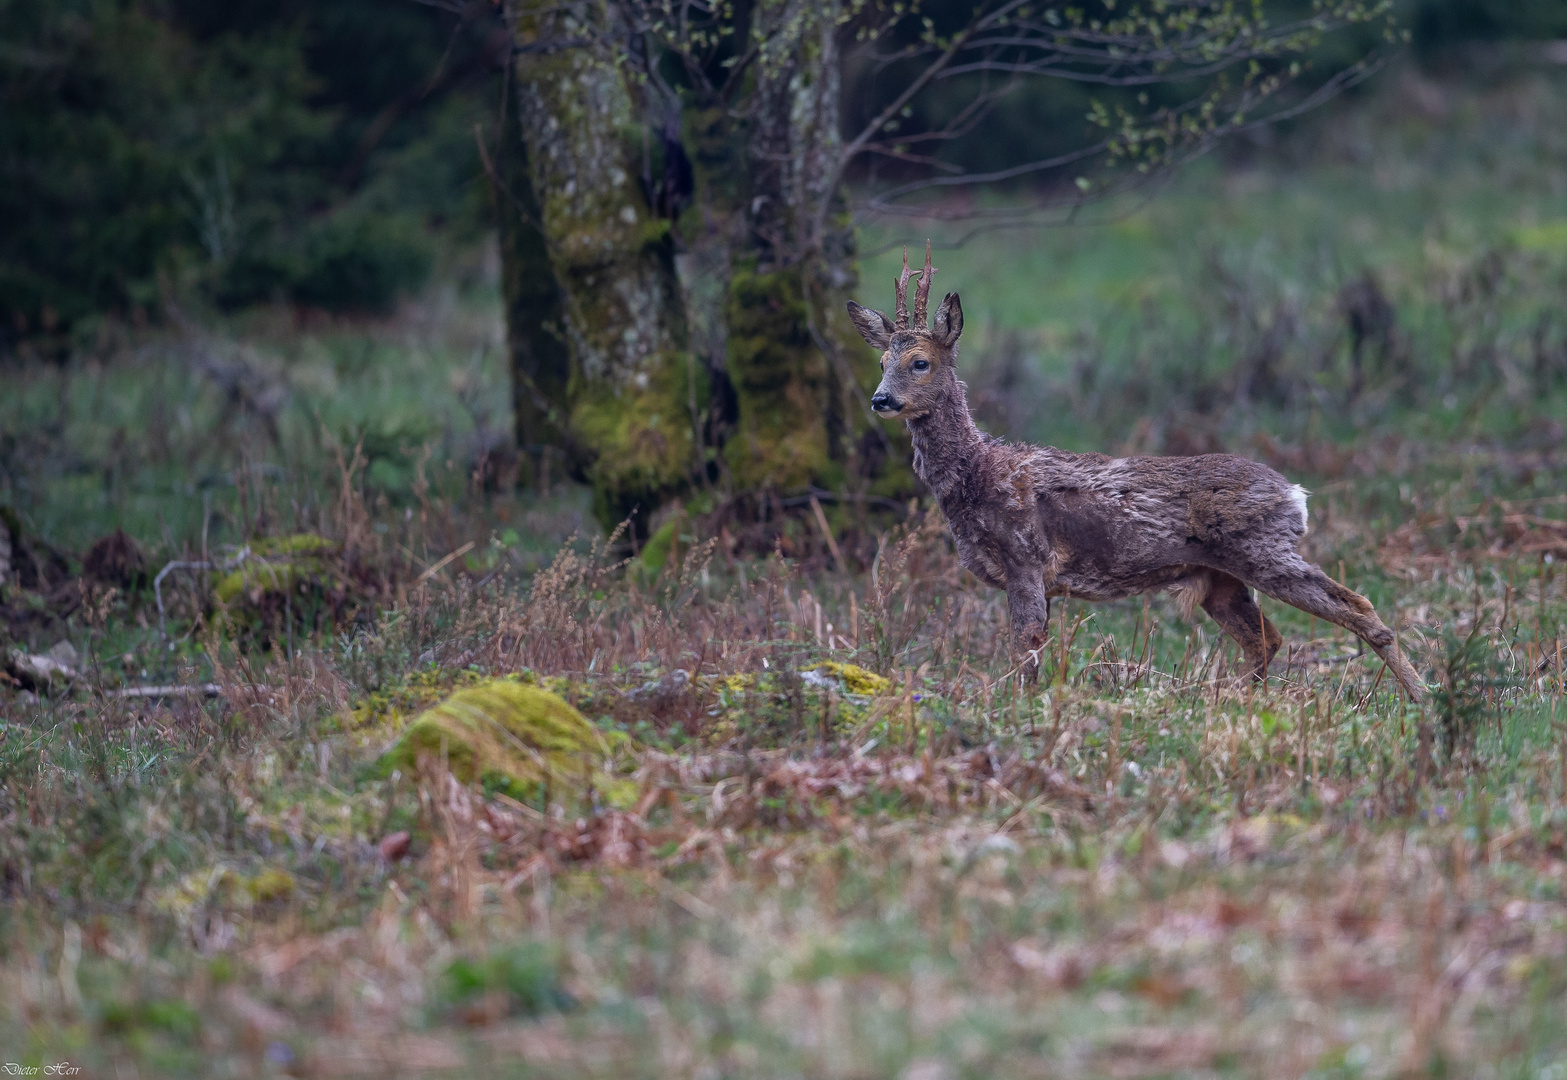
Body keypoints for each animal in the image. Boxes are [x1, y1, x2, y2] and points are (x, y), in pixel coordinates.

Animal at [852, 244, 1429, 699]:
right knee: (1267, 638)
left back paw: (1422, 696)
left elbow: (1026, 654)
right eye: (880, 361)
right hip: (1222, 578)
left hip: (1264, 551)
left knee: (1355, 604)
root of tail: (1295, 494)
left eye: (921, 362)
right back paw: (1229, 699)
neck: (977, 476)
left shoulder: (1027, 560)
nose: (880, 400)